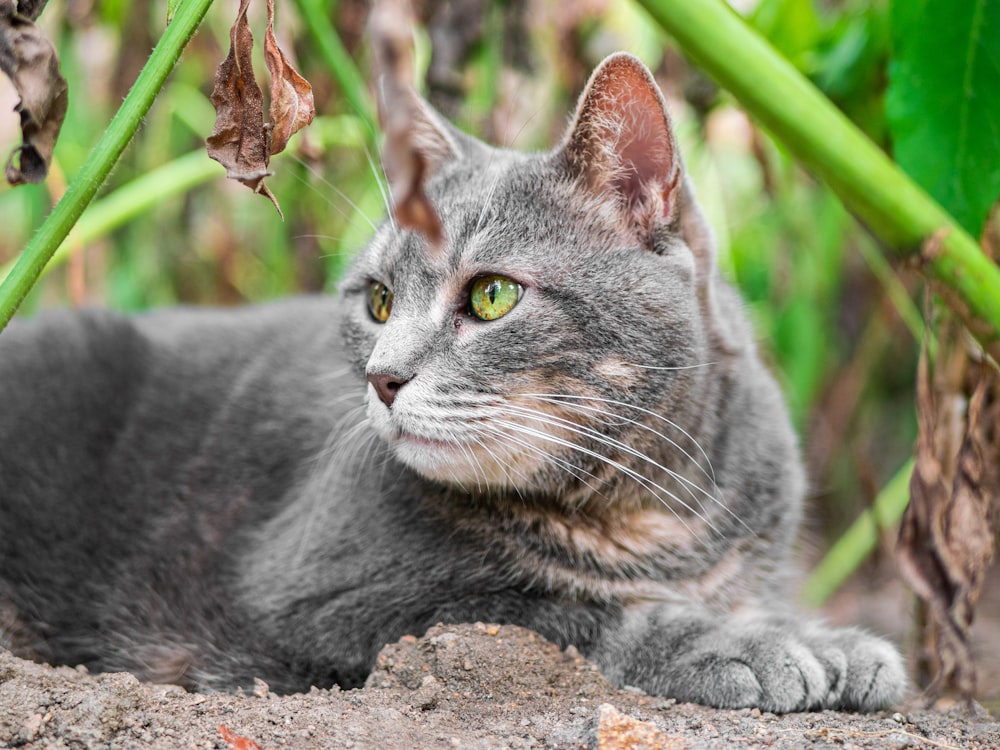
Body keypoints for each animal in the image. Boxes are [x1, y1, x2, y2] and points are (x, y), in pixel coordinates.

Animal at [0, 54, 908, 716]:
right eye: (377, 300)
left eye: (493, 295)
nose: (381, 376)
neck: (650, 515)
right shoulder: (325, 591)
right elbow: (551, 611)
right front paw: (745, 645)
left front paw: (832, 639)